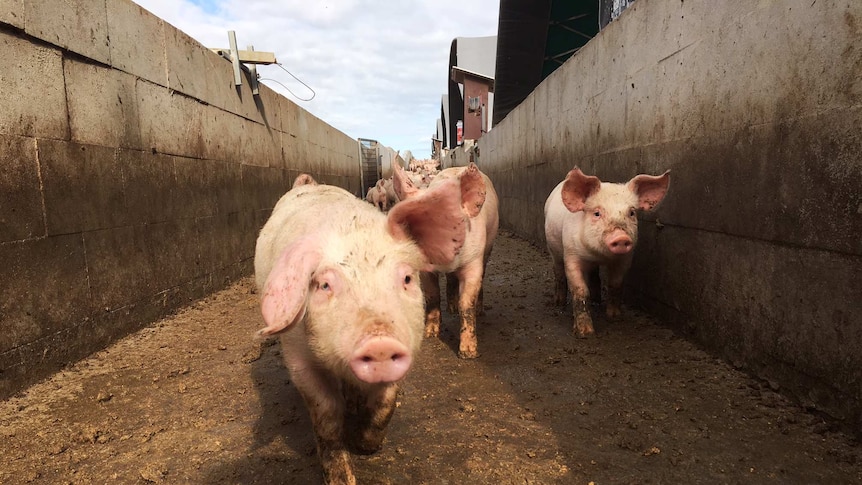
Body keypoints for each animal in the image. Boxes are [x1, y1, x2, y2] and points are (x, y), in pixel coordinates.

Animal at [255, 172, 472, 482]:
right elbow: (326, 414)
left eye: (407, 278)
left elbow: (386, 402)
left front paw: (366, 446)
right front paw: (343, 478)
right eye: (324, 285)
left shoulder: (406, 345)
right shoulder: (297, 357)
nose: (380, 342)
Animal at [394, 164, 500, 360]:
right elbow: (432, 294)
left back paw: (478, 311)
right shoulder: (426, 271)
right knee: (450, 279)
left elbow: (467, 303)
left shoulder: (473, 260)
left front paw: (468, 353)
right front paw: (430, 333)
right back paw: (451, 309)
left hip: (488, 248)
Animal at [544, 168, 672, 338]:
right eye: (597, 213)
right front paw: (585, 333)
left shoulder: (625, 259)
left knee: (594, 275)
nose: (621, 237)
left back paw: (597, 300)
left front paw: (615, 317)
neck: (600, 256)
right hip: (553, 249)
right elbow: (580, 290)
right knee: (558, 273)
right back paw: (558, 303)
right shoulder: (571, 255)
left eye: (631, 213)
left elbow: (615, 284)